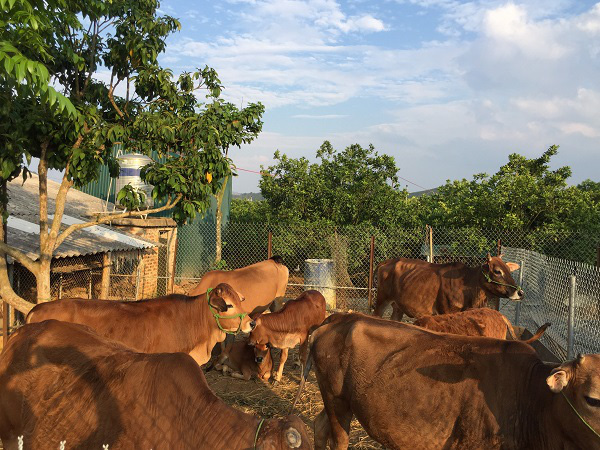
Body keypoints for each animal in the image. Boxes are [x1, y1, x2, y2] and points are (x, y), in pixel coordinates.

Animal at [294, 312, 600, 450]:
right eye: (593, 399)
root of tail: (337, 318)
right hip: (337, 402)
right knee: (338, 437)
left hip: (336, 400)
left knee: (319, 425)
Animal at [372, 253, 524, 320]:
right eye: (498, 271)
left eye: (509, 270)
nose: (520, 293)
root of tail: (387, 262)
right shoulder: (445, 312)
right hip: (381, 301)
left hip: (398, 307)